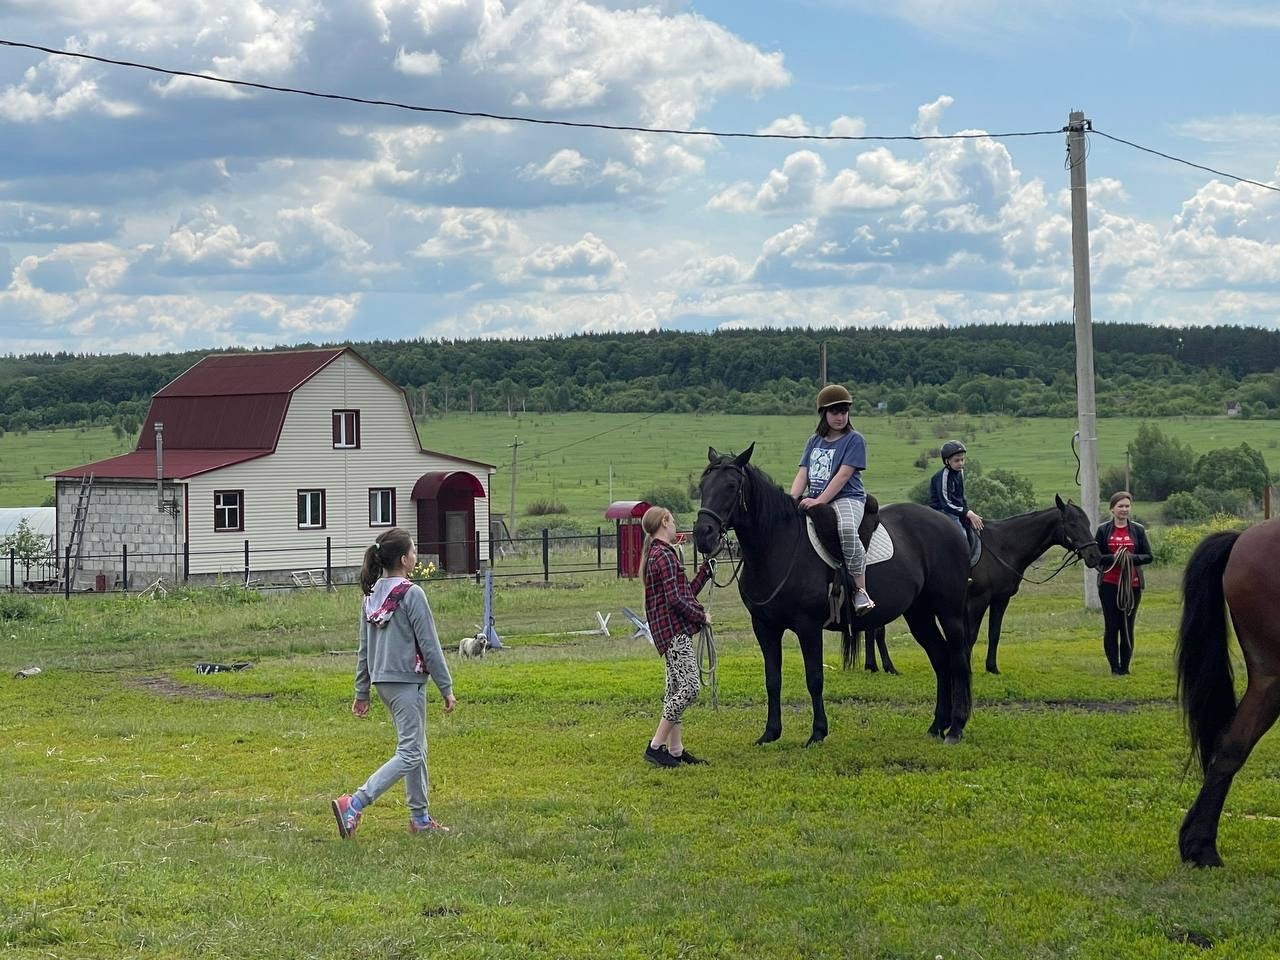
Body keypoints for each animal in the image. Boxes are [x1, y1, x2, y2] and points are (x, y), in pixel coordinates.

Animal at [696, 448, 972, 747]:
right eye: (703, 486)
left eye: (731, 486)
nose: (702, 534)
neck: (778, 545)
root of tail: (949, 526)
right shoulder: (765, 627)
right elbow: (772, 679)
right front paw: (770, 732)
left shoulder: (808, 626)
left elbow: (814, 678)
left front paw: (818, 732)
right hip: (919, 614)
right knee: (941, 659)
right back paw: (937, 725)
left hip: (950, 612)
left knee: (958, 661)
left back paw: (956, 728)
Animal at [849, 504, 1100, 675]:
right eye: (1073, 524)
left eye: (1088, 523)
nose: (1094, 556)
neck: (1002, 546)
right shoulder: (978, 601)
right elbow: (971, 635)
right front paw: (965, 665)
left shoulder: (1000, 600)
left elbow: (994, 633)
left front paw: (992, 667)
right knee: (877, 632)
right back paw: (886, 667)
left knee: (873, 630)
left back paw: (874, 666)